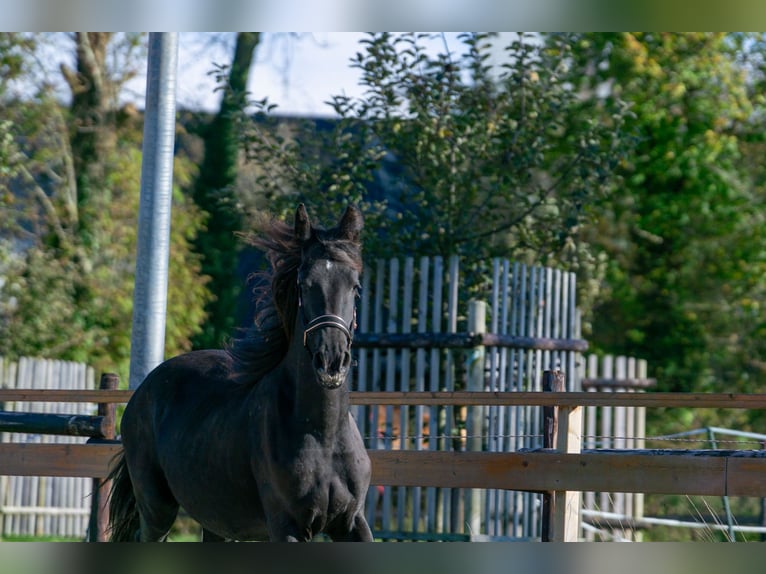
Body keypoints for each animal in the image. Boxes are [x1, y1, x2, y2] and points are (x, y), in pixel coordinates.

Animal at [106, 206, 374, 544]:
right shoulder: (286, 526)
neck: (321, 433)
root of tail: (142, 393)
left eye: (356, 287)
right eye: (303, 284)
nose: (331, 361)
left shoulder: (353, 522)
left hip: (214, 518)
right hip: (156, 510)